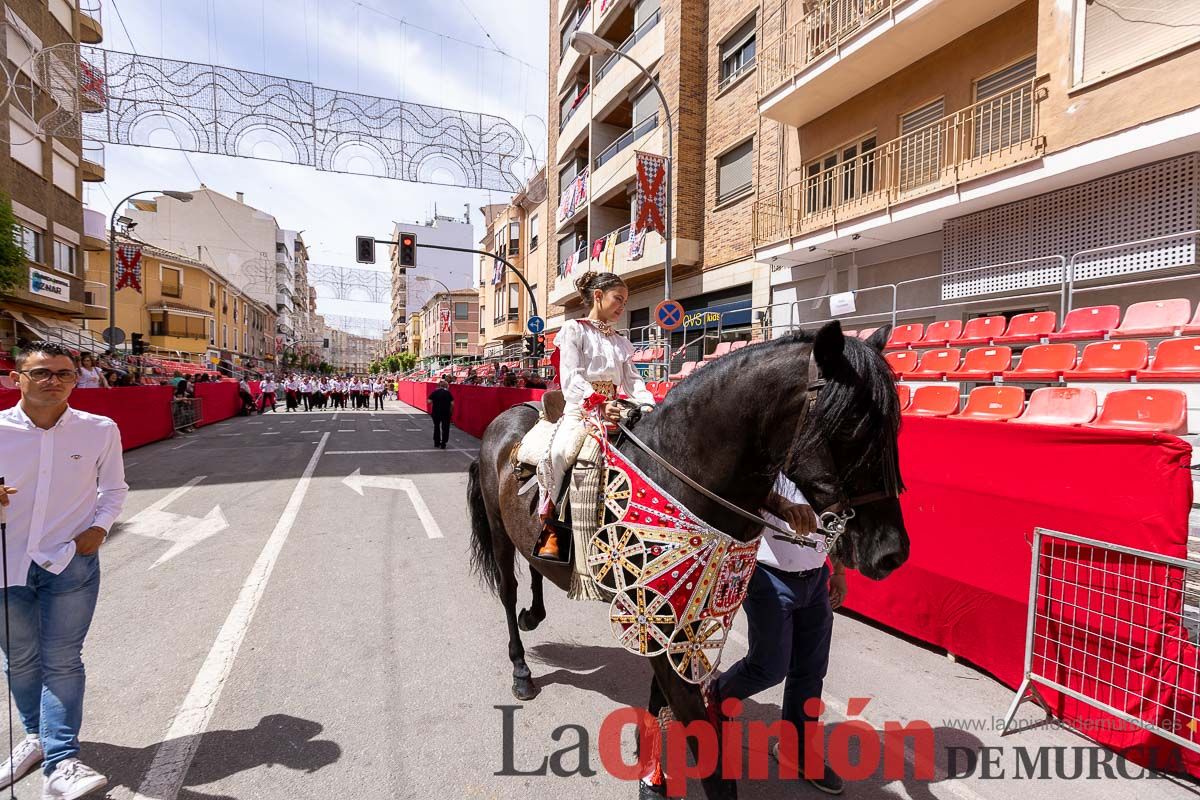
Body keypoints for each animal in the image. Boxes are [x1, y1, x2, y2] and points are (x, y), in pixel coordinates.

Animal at [468, 321, 907, 796]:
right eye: (851, 428)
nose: (893, 552)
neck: (678, 472)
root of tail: (507, 418)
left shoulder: (680, 620)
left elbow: (664, 704)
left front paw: (650, 766)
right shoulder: (655, 614)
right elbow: (705, 748)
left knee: (534, 570)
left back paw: (536, 609)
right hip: (498, 531)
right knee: (509, 592)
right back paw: (521, 670)